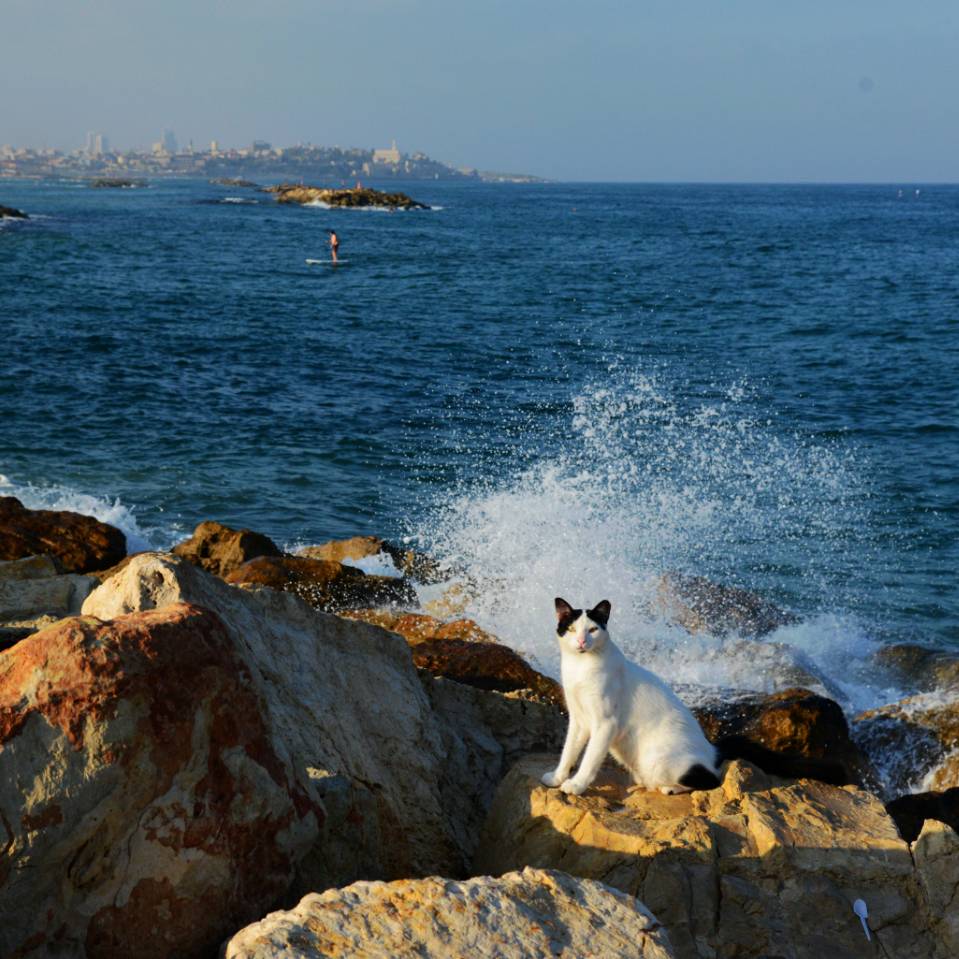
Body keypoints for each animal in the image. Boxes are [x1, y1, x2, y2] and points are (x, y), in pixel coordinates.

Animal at [544, 600, 852, 796]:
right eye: (571, 629)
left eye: (593, 629)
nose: (581, 642)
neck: (580, 669)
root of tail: (712, 749)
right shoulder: (579, 720)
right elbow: (569, 751)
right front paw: (558, 778)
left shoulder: (605, 724)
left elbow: (589, 760)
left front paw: (576, 785)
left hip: (658, 758)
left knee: (711, 779)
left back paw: (670, 787)